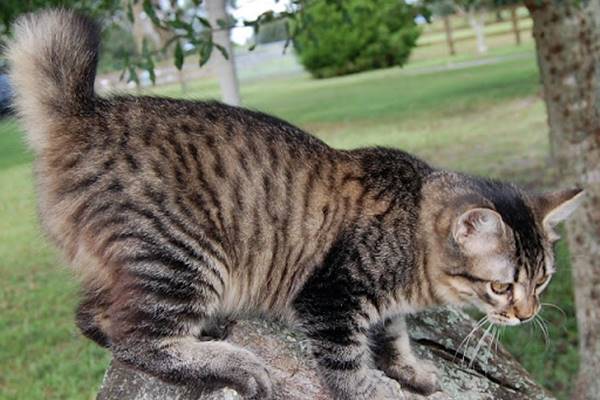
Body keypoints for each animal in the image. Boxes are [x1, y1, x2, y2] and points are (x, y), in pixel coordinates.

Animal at [7, 9, 584, 400]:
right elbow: (348, 364)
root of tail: (87, 113)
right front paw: (379, 387)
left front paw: (412, 370)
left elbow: (395, 336)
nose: (527, 313)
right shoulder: (330, 297)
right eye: (501, 287)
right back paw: (237, 364)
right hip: (182, 256)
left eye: (543, 282)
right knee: (138, 339)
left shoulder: (381, 307)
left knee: (93, 316)